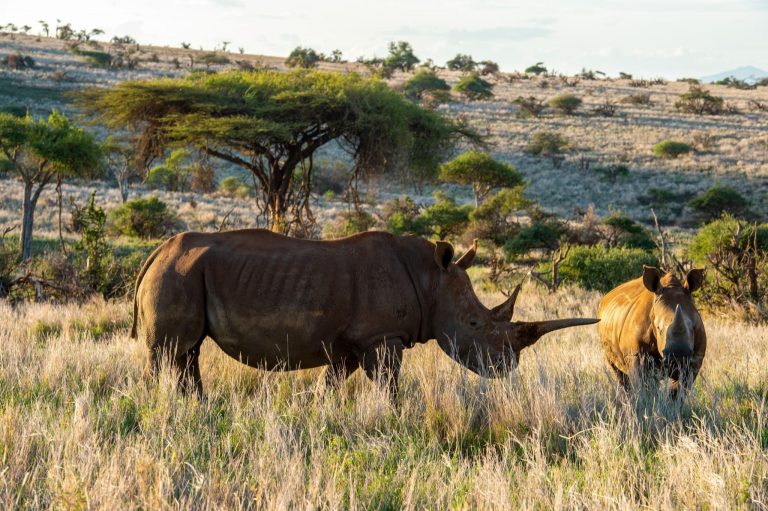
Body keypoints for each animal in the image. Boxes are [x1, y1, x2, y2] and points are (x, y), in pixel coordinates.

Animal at [132, 230, 600, 398]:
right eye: (474, 325)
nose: (507, 368)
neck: (430, 278)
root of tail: (156, 252)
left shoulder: (351, 345)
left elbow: (330, 385)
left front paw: (320, 413)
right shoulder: (382, 338)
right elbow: (390, 387)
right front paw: (396, 418)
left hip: (184, 272)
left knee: (187, 353)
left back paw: (196, 407)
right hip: (177, 274)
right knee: (167, 352)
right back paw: (157, 409)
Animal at [596, 266, 704, 398]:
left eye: (693, 327)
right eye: (658, 328)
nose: (678, 354)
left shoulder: (695, 359)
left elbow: (679, 391)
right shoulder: (635, 354)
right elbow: (642, 385)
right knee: (619, 373)